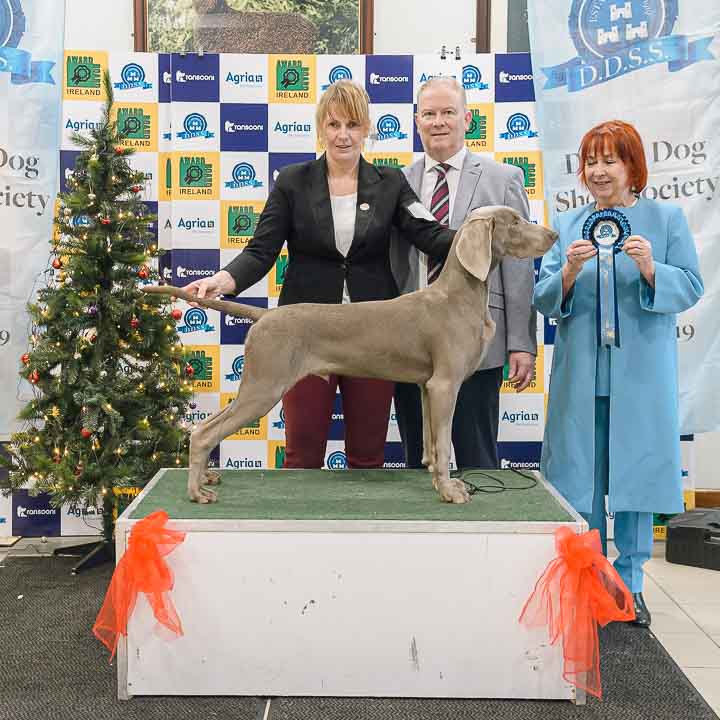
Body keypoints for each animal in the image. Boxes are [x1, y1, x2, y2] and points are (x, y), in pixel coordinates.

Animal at [144, 206, 558, 504]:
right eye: (515, 221)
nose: (553, 235)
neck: (459, 295)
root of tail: (266, 315)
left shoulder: (429, 386)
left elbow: (431, 442)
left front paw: (434, 477)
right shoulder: (446, 384)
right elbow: (443, 444)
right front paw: (450, 490)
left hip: (259, 385)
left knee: (206, 428)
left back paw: (206, 477)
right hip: (264, 386)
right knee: (204, 432)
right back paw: (197, 491)